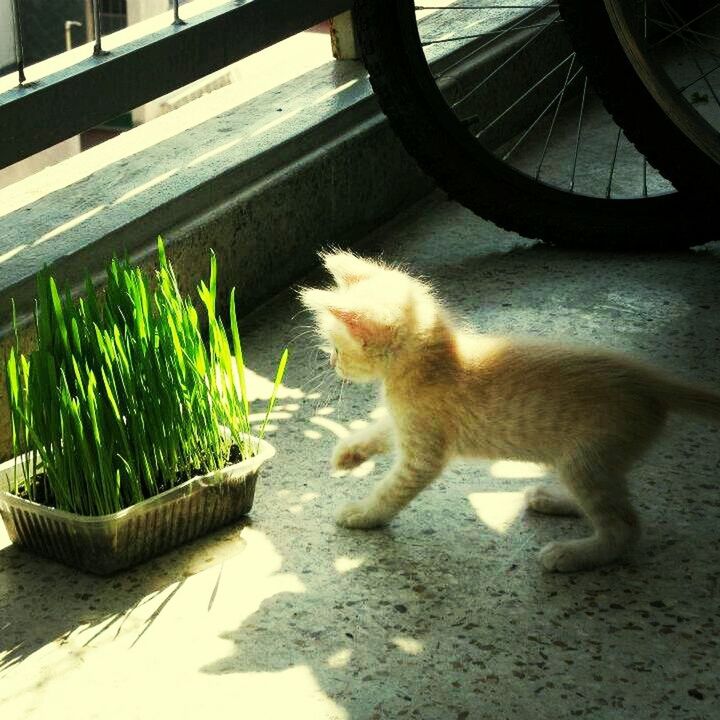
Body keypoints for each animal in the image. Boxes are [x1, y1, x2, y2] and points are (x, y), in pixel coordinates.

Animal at [300, 253, 720, 572]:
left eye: (337, 349)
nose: (332, 364)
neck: (434, 365)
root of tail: (648, 379)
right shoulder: (408, 423)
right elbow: (380, 429)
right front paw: (349, 452)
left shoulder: (423, 451)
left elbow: (392, 489)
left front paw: (363, 514)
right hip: (591, 458)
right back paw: (554, 499)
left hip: (589, 455)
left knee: (625, 526)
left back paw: (574, 554)